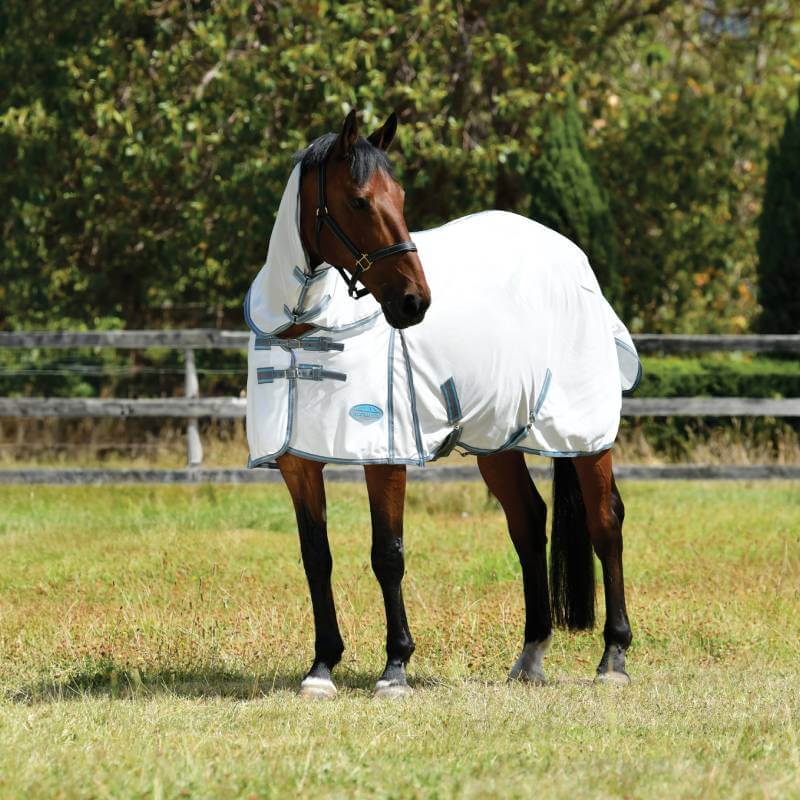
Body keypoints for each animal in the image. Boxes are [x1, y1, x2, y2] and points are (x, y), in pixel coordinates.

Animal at [244, 110, 635, 698]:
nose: (414, 302)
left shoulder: (386, 455)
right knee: (528, 521)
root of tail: (571, 257)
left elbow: (387, 554)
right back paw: (530, 655)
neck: (305, 327)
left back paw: (613, 657)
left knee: (604, 521)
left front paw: (395, 667)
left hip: (585, 435)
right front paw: (321, 667)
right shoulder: (298, 462)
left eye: (401, 197)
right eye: (358, 200)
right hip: (498, 440)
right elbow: (317, 557)